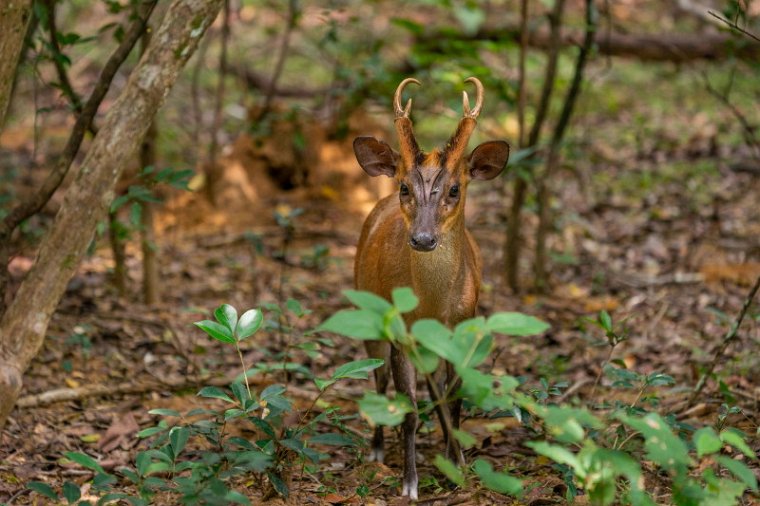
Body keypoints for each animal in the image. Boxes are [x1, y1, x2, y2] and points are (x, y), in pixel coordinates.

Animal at [352, 77, 508, 500]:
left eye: (455, 189)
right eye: (406, 187)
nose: (422, 239)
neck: (433, 306)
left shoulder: (461, 326)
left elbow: (452, 398)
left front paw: (458, 465)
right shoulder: (401, 332)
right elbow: (408, 409)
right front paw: (410, 483)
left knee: (435, 387)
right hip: (371, 315)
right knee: (380, 380)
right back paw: (376, 448)